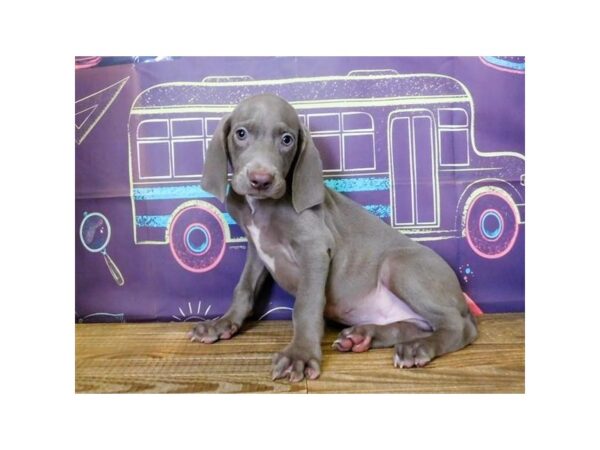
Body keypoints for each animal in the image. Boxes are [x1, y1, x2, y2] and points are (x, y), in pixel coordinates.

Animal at [189, 93, 478, 382]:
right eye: (241, 134)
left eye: (287, 139)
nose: (261, 180)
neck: (260, 206)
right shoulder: (257, 248)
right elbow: (244, 288)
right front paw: (222, 324)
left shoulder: (315, 248)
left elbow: (306, 304)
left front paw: (300, 355)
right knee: (420, 325)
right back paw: (364, 336)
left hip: (399, 266)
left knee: (460, 326)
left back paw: (418, 348)